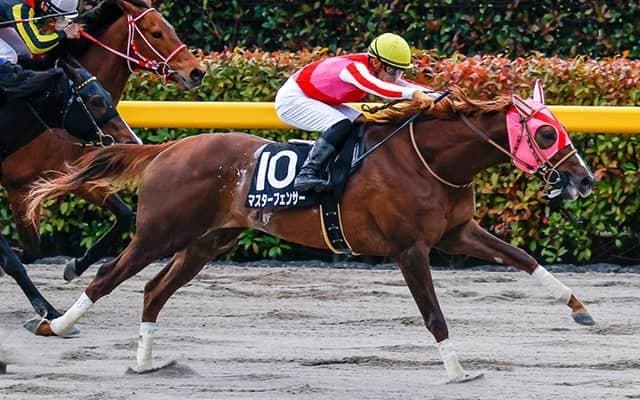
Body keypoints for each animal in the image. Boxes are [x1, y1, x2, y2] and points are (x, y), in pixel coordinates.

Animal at [0, 59, 137, 322]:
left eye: (107, 95)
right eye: (96, 100)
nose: (133, 140)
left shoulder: (72, 176)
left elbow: (125, 214)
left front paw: (75, 266)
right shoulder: (22, 189)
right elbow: (16, 259)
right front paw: (48, 309)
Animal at [25, 81, 595, 382]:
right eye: (546, 133)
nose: (585, 179)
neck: (429, 160)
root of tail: (169, 148)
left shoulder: (457, 234)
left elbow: (524, 259)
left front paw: (579, 308)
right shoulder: (410, 248)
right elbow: (434, 313)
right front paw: (458, 371)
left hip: (207, 241)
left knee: (152, 289)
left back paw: (145, 363)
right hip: (159, 233)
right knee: (108, 278)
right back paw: (55, 325)